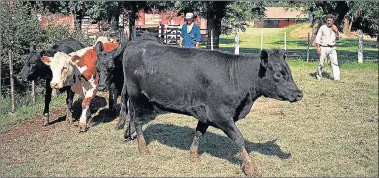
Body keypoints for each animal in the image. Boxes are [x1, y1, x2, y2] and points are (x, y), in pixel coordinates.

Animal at [120, 36, 304, 176]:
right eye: (279, 74)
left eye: (289, 71)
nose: (299, 93)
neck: (235, 77)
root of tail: (136, 42)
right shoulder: (220, 115)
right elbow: (239, 138)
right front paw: (250, 167)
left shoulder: (205, 114)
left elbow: (199, 133)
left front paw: (193, 155)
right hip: (136, 95)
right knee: (137, 120)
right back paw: (143, 148)